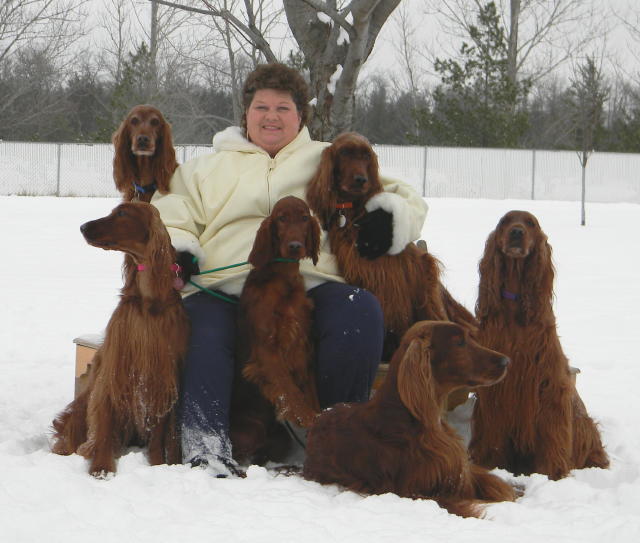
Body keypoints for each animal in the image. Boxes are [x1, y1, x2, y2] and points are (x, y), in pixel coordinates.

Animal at [52, 202, 188, 478]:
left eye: (123, 214)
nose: (82, 226)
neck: (149, 301)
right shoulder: (116, 369)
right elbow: (104, 423)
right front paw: (101, 467)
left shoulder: (162, 376)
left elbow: (158, 433)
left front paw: (157, 465)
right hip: (81, 407)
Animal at [229, 196, 322, 464]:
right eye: (281, 218)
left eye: (304, 217)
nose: (294, 246)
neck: (283, 281)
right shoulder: (266, 351)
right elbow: (289, 391)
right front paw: (310, 418)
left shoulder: (302, 346)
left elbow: (309, 391)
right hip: (250, 430)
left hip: (280, 440)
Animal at [302, 320, 516, 520]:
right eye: (459, 342)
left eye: (470, 338)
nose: (506, 361)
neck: (422, 420)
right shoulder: (414, 491)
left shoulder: (459, 473)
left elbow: (495, 483)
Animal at [308, 134, 478, 360]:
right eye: (344, 152)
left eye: (366, 156)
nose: (361, 179)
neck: (352, 212)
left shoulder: (394, 276)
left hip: (428, 279)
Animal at [470, 210, 608, 478]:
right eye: (505, 221)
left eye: (530, 223)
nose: (516, 232)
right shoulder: (495, 390)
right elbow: (492, 434)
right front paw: (488, 464)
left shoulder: (548, 388)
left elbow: (552, 437)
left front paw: (552, 473)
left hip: (581, 422)